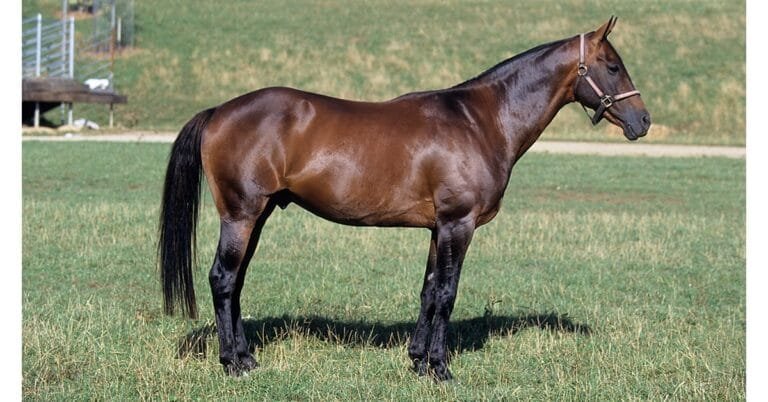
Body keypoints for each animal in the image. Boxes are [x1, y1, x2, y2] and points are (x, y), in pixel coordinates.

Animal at [159, 17, 650, 381]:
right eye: (612, 66)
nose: (643, 121)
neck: (480, 121)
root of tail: (219, 111)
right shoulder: (458, 224)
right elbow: (448, 292)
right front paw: (440, 368)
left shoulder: (439, 228)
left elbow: (429, 289)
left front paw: (418, 359)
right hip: (241, 215)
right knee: (223, 279)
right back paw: (232, 364)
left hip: (256, 216)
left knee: (236, 282)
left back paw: (246, 357)